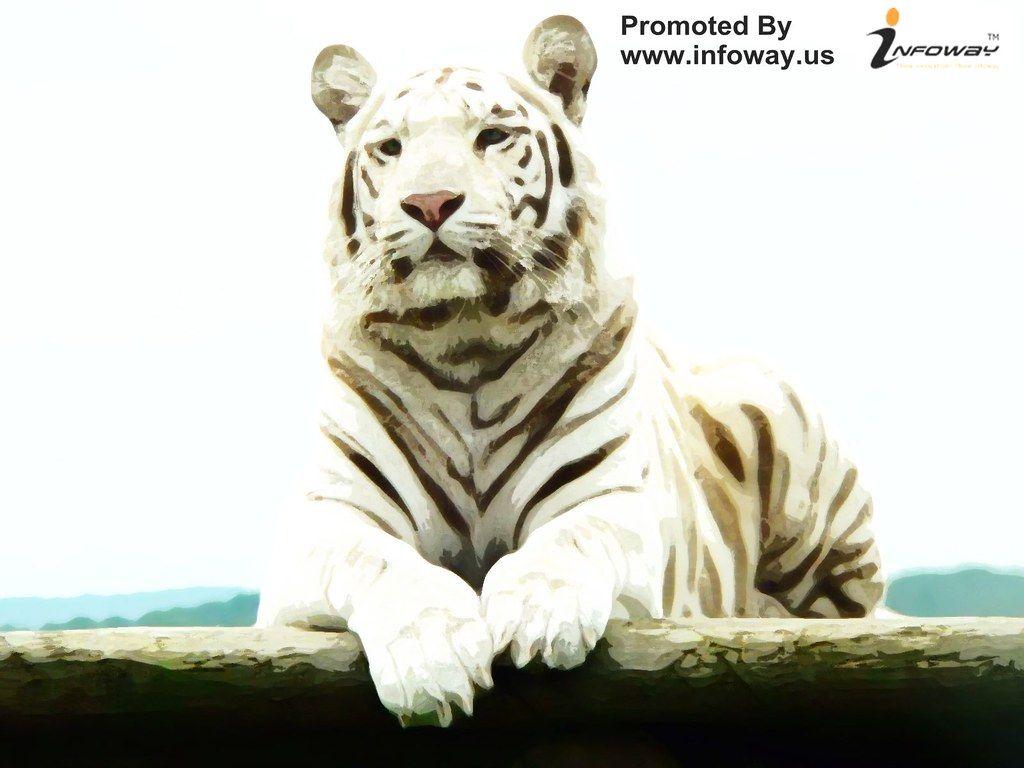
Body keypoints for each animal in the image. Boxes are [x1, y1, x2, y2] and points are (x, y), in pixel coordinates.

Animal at [255, 15, 885, 726]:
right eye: (390, 148)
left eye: (492, 136)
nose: (430, 202)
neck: (462, 339)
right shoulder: (328, 519)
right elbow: (384, 564)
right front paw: (429, 661)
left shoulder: (611, 499)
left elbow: (571, 541)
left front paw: (537, 616)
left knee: (853, 606)